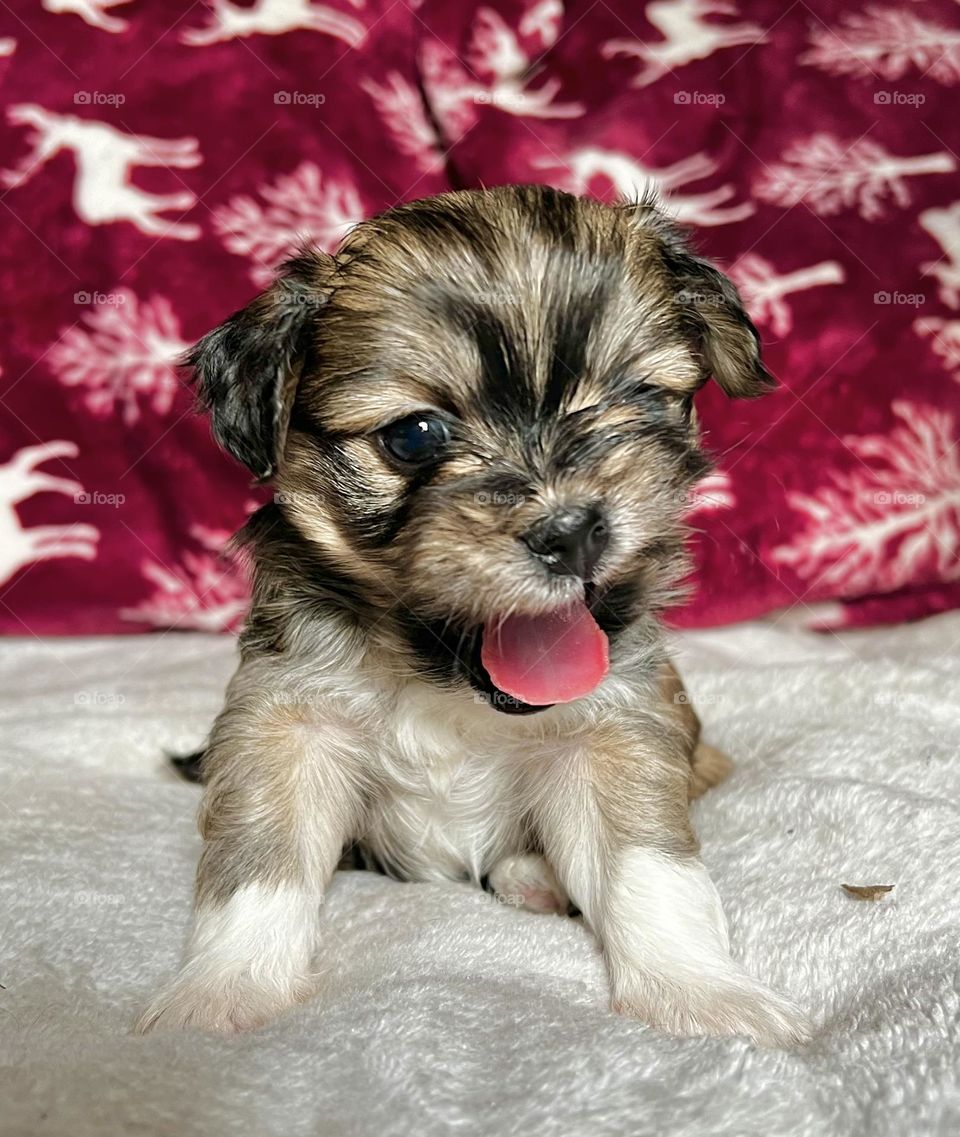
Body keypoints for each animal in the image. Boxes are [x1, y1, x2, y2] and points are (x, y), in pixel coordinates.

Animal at [137, 186, 809, 1046]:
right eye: (414, 436)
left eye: (636, 398)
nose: (574, 531)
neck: (443, 678)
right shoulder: (286, 722)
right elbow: (259, 864)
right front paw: (225, 989)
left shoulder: (620, 725)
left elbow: (652, 869)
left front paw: (700, 991)